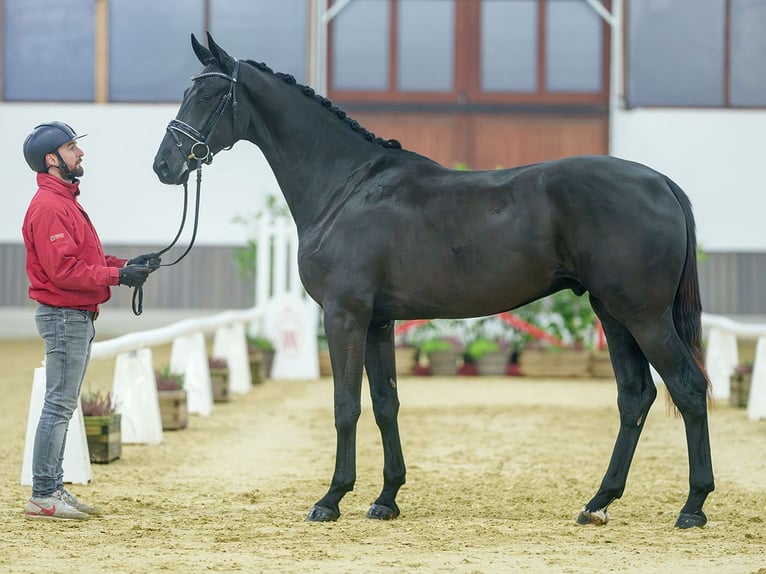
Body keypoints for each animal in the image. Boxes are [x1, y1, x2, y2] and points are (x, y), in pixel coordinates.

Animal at [154, 33, 712, 532]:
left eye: (208, 94)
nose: (164, 165)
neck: (346, 187)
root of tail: (661, 182)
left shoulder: (344, 315)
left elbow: (345, 405)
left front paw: (331, 499)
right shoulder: (378, 322)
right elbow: (385, 404)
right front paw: (386, 498)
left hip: (644, 317)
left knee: (687, 387)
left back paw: (693, 506)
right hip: (611, 313)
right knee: (635, 396)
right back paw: (598, 503)